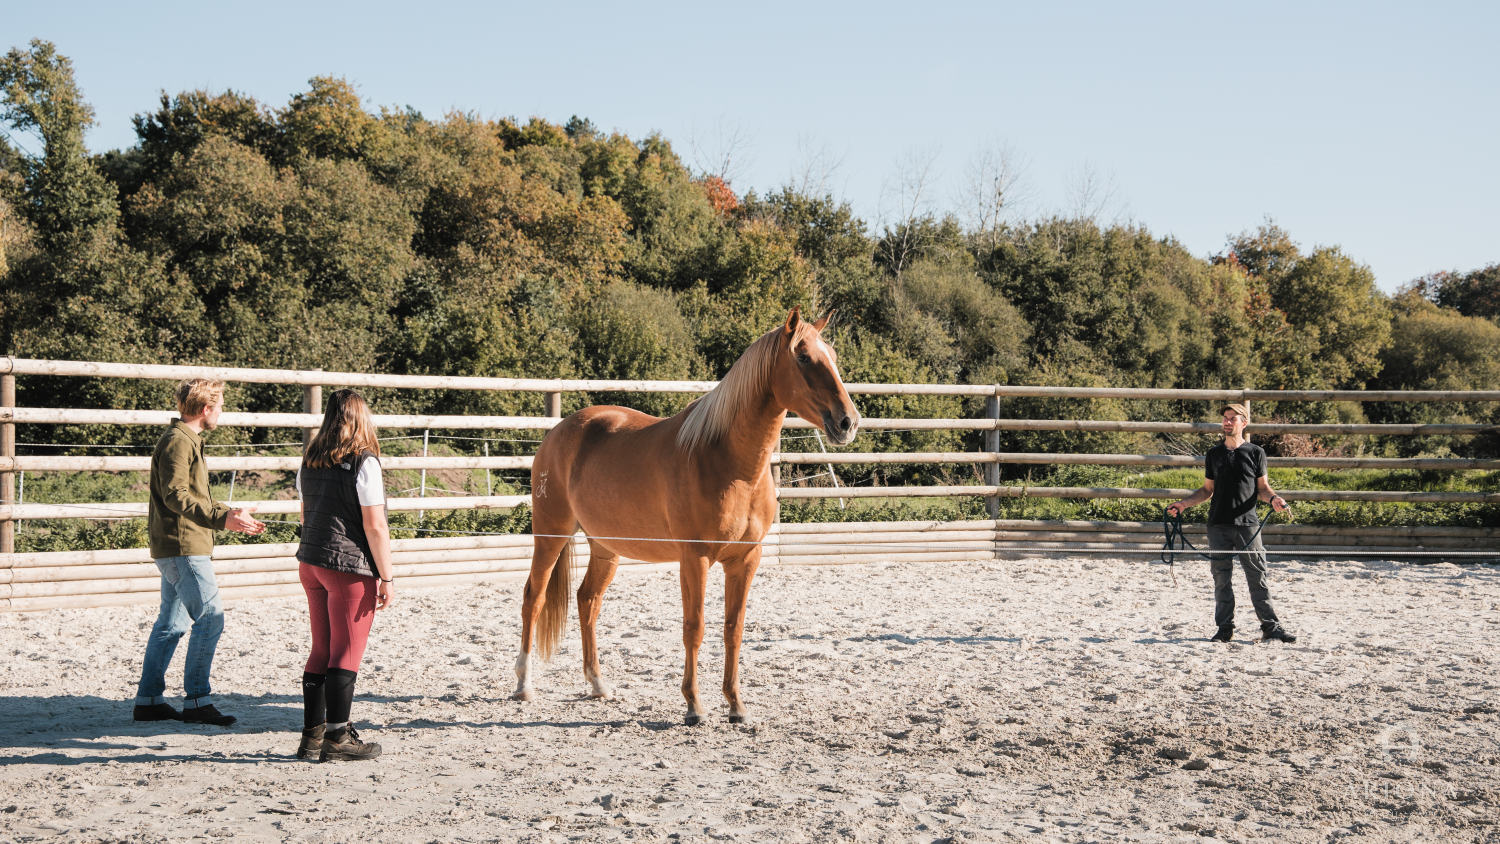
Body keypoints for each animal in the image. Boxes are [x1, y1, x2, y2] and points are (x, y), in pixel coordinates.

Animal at [511, 307, 860, 725]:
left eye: (834, 357)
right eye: (804, 357)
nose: (848, 422)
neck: (727, 461)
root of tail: (558, 432)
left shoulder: (746, 559)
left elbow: (733, 629)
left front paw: (736, 705)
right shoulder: (694, 558)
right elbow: (694, 628)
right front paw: (694, 704)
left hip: (605, 547)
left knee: (587, 600)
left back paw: (598, 685)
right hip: (551, 534)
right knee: (534, 598)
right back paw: (524, 685)